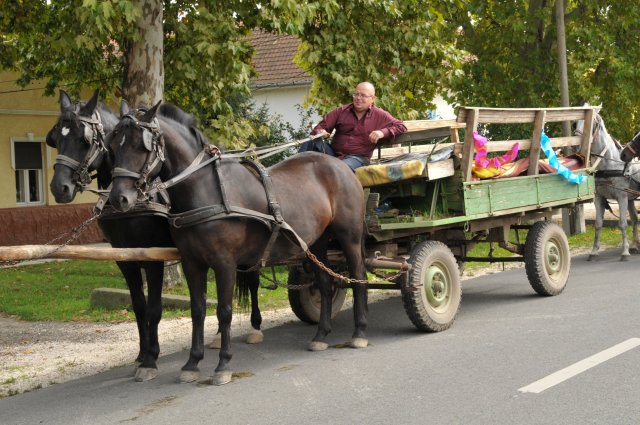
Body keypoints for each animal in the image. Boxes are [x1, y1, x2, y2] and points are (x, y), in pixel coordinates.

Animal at [45, 92, 262, 380]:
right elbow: (139, 306)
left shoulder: (153, 256)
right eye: (56, 139)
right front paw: (141, 355)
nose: (60, 188)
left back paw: (255, 328)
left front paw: (151, 359)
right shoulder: (124, 258)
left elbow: (154, 308)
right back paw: (217, 337)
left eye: (84, 140)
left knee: (254, 282)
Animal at [107, 100, 368, 384]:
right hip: (317, 242)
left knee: (358, 276)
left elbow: (224, 311)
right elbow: (198, 310)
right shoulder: (192, 262)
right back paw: (321, 335)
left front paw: (223, 364)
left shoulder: (225, 263)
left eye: (140, 145)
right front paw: (192, 363)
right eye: (113, 145)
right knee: (325, 282)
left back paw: (359, 333)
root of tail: (341, 166)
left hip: (349, 236)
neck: (208, 190)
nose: (119, 198)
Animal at [576, 113, 640, 258]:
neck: (609, 164)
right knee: (635, 219)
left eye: (592, 124)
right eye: (575, 123)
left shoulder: (622, 197)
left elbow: (622, 223)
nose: (577, 145)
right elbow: (598, 224)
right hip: (631, 199)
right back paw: (635, 245)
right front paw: (594, 251)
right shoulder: (599, 198)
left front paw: (625, 252)